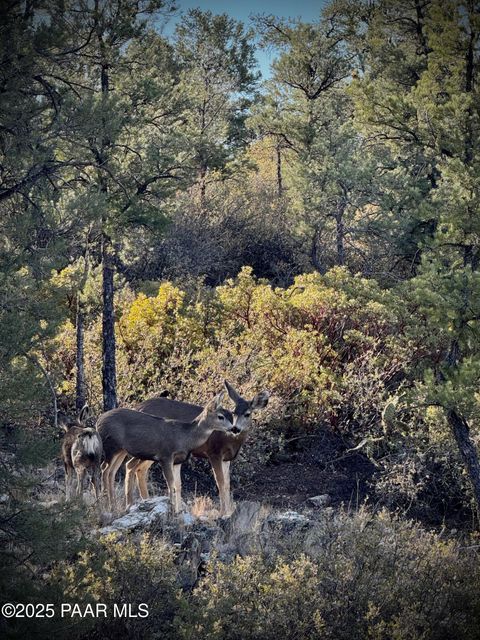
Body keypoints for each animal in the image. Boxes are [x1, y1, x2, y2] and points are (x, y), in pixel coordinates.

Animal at [97, 390, 232, 516]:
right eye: (221, 416)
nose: (232, 428)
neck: (185, 437)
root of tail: (98, 421)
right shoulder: (165, 455)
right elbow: (170, 482)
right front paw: (171, 507)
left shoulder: (177, 460)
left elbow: (177, 484)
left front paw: (177, 510)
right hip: (111, 446)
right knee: (104, 468)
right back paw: (105, 504)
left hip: (120, 450)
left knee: (112, 471)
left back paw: (114, 505)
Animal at [128, 380, 270, 516]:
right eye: (234, 412)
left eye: (247, 414)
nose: (235, 428)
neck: (230, 440)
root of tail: (138, 406)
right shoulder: (214, 452)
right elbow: (220, 482)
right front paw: (223, 512)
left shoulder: (227, 459)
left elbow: (227, 484)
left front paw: (229, 511)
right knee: (135, 466)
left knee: (140, 469)